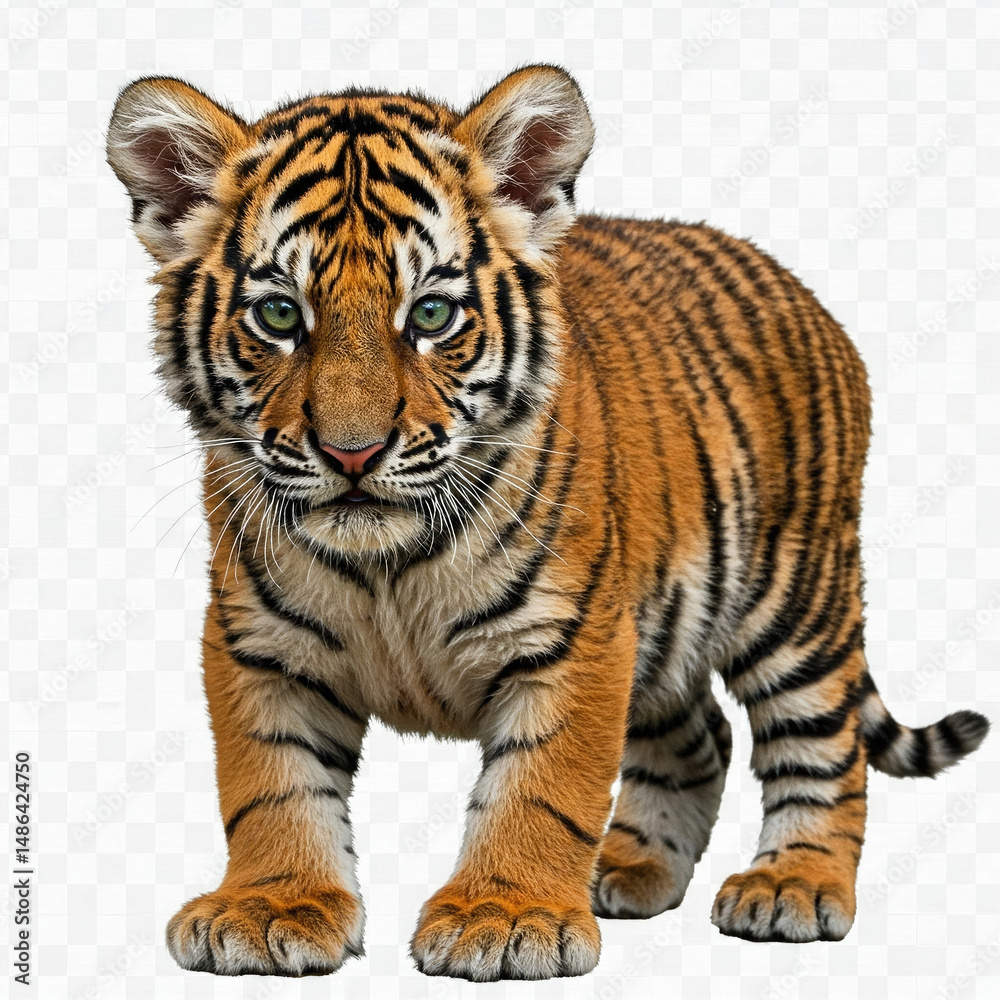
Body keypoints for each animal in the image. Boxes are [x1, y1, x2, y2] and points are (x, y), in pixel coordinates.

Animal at [106, 65, 989, 981]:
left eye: (431, 316)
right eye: (279, 317)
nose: (353, 454)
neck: (386, 566)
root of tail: (798, 287)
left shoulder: (575, 637)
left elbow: (540, 788)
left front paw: (505, 916)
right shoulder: (259, 643)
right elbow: (271, 786)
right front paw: (273, 905)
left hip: (794, 596)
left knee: (827, 744)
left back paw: (793, 884)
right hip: (667, 631)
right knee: (702, 738)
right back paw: (630, 868)